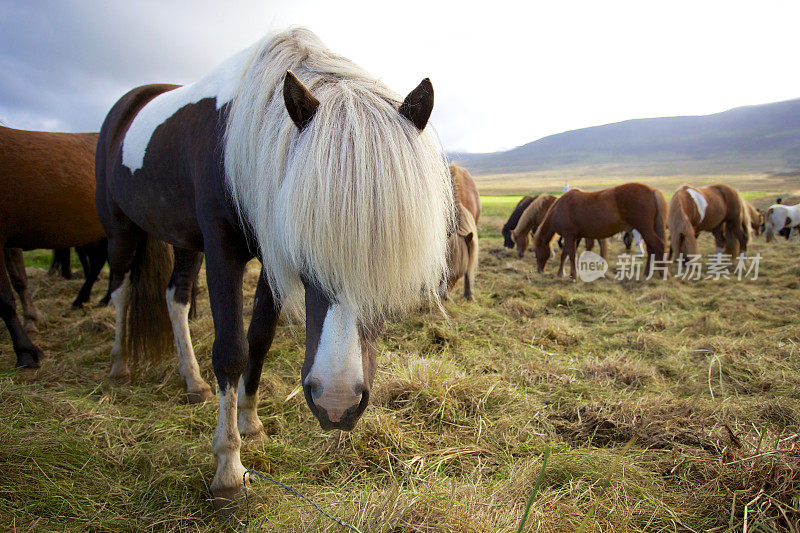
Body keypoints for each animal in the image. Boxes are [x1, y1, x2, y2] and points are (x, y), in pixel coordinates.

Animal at [94, 28, 454, 508]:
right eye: (306, 249)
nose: (336, 402)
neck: (239, 140)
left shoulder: (268, 257)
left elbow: (259, 339)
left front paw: (250, 423)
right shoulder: (224, 249)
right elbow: (231, 350)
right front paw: (228, 469)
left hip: (184, 240)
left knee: (176, 298)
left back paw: (192, 381)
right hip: (121, 230)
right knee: (119, 291)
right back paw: (119, 366)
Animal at [536, 182, 668, 278]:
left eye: (537, 251)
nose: (539, 271)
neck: (558, 209)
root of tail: (652, 191)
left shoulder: (569, 236)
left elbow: (571, 255)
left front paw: (573, 276)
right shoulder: (572, 237)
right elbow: (565, 254)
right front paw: (560, 273)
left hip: (645, 229)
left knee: (658, 245)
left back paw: (663, 274)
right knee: (651, 249)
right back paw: (647, 273)